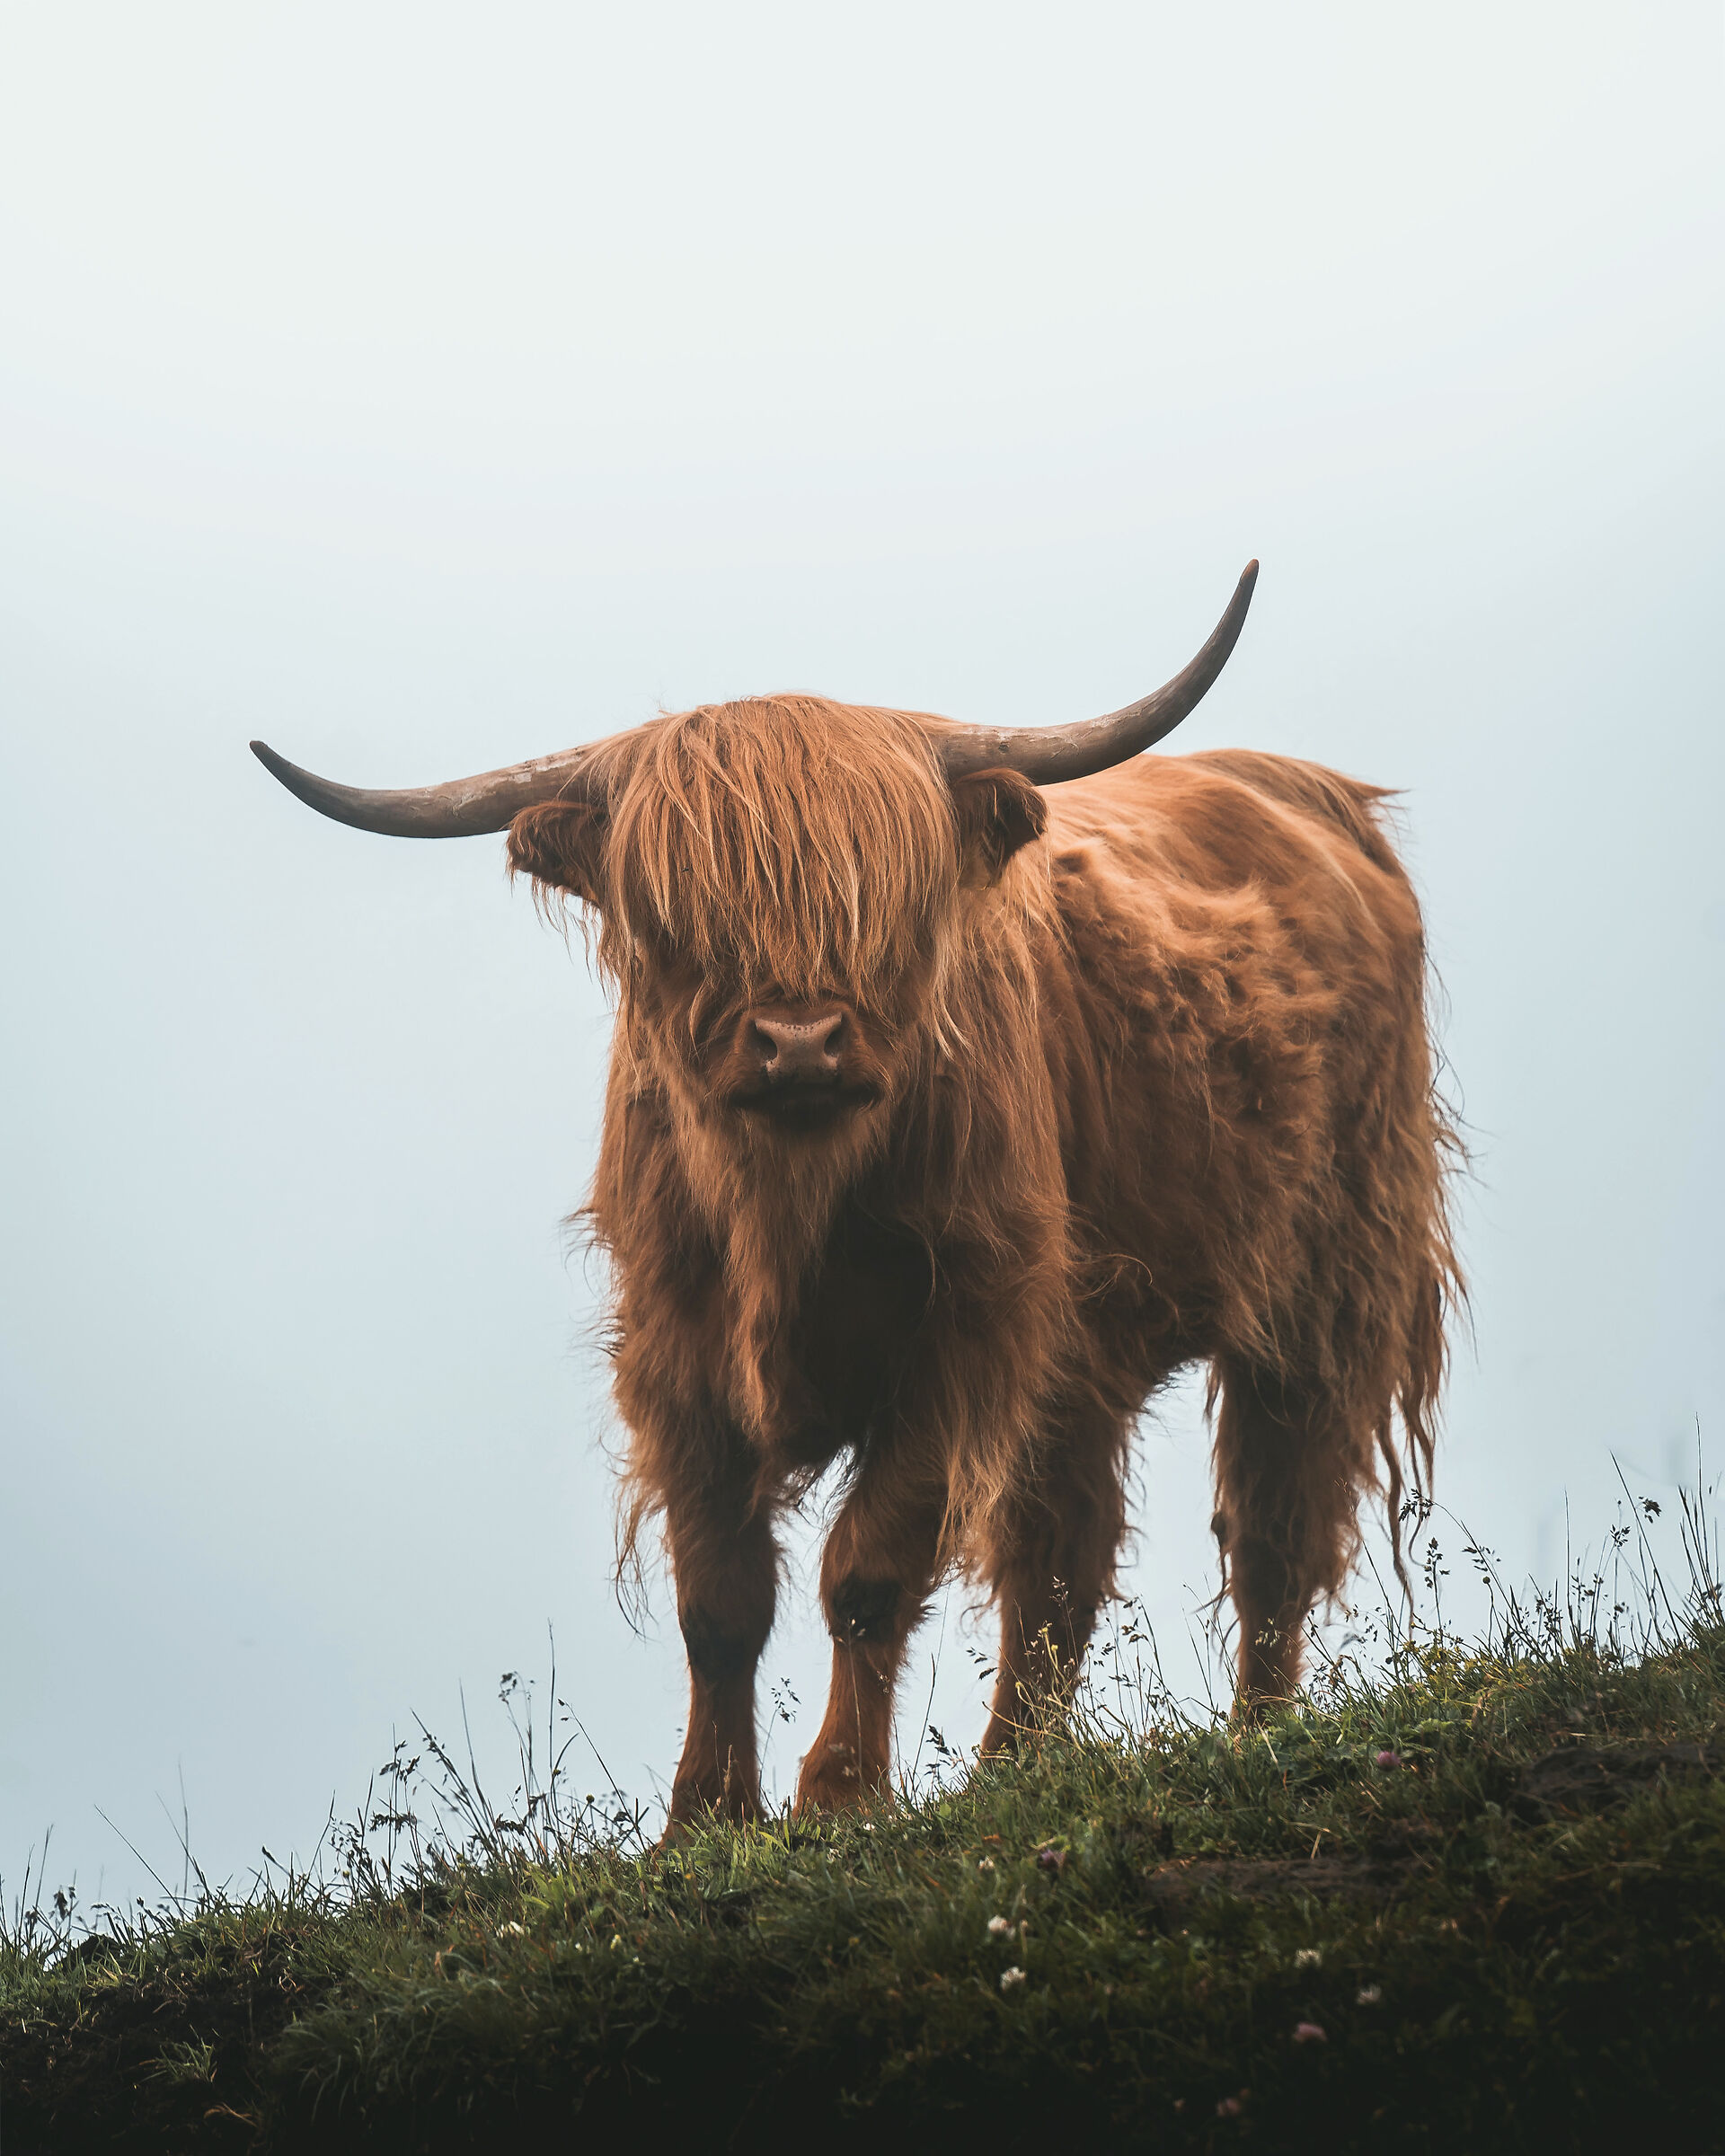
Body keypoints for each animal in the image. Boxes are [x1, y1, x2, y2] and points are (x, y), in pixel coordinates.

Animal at [253, 562, 1461, 1833]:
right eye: (682, 918)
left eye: (882, 902)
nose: (799, 1044)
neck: (785, 1207)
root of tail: (1304, 792)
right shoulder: (678, 1353)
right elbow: (719, 1600)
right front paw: (704, 1817)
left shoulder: (961, 1334)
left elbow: (870, 1569)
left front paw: (838, 1795)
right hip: (1079, 1350)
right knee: (1060, 1560)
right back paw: (1010, 1774)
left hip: (1324, 1281)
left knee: (1272, 1526)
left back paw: (1254, 1738)